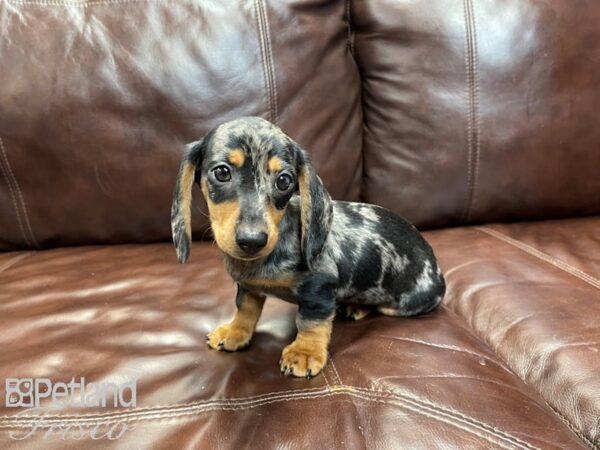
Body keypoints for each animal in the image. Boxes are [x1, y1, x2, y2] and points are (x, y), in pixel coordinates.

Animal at [172, 118, 446, 378]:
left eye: (284, 180)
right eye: (221, 172)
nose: (252, 240)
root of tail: (436, 266)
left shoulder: (319, 286)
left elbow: (310, 321)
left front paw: (304, 353)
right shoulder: (248, 287)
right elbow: (246, 309)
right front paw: (235, 332)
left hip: (400, 305)